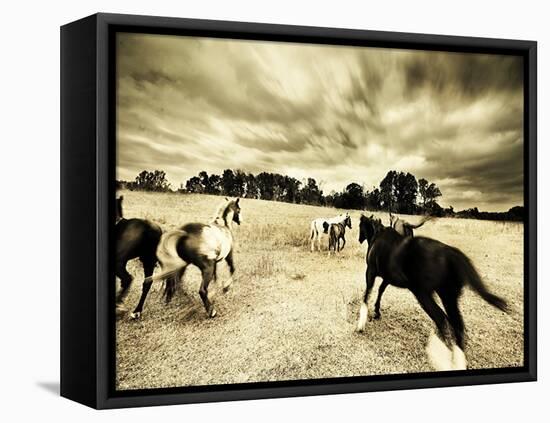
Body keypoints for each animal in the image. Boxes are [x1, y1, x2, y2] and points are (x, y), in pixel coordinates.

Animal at [358, 215, 508, 372]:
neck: (378, 236)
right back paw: (457, 361)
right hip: (448, 296)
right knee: (457, 324)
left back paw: (442, 358)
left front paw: (361, 323)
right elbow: (380, 291)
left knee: (441, 319)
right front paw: (377, 312)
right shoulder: (387, 278)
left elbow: (367, 293)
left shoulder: (371, 272)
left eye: (359, 226)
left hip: (423, 294)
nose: (359, 239)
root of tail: (451, 253)